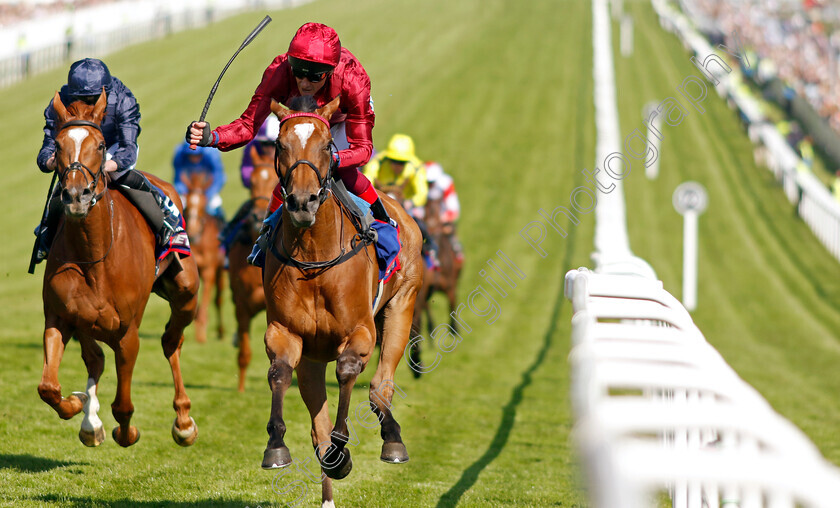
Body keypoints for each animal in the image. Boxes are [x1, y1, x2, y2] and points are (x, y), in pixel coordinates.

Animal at [39, 91, 200, 448]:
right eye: (57, 145)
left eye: (100, 145)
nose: (76, 195)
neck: (95, 256)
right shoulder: (61, 316)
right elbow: (48, 388)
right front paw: (79, 407)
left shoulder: (128, 333)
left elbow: (123, 405)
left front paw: (126, 432)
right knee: (95, 359)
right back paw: (90, 421)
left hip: (185, 287)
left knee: (171, 341)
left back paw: (183, 422)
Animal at [182, 173, 225, 344]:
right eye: (187, 201)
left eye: (203, 203)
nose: (192, 229)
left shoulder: (208, 270)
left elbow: (205, 302)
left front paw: (201, 336)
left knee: (218, 299)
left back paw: (220, 331)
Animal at [260, 97, 424, 506]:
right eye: (280, 145)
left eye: (325, 147)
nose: (302, 203)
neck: (315, 256)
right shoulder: (286, 333)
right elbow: (279, 372)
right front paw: (276, 446)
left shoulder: (360, 330)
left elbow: (349, 370)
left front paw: (343, 445)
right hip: (313, 358)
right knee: (316, 424)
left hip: (402, 304)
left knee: (381, 387)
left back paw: (392, 439)